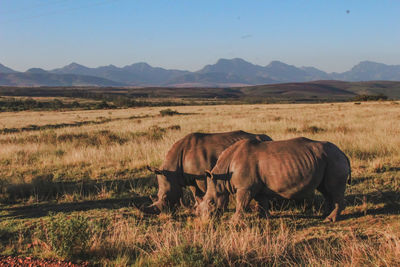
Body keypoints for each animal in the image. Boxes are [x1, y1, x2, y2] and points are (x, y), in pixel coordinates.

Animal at [138, 131, 272, 215]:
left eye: (166, 197)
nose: (161, 212)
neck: (173, 171)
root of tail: (269, 138)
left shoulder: (202, 176)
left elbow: (204, 191)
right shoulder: (190, 178)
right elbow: (195, 193)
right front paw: (197, 207)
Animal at [196, 137, 350, 223]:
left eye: (211, 202)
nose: (206, 221)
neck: (222, 177)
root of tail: (343, 153)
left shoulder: (245, 187)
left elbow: (241, 203)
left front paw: (233, 222)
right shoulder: (257, 186)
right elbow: (262, 202)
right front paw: (264, 218)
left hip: (334, 160)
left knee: (333, 189)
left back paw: (330, 219)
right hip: (326, 159)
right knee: (325, 190)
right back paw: (325, 215)